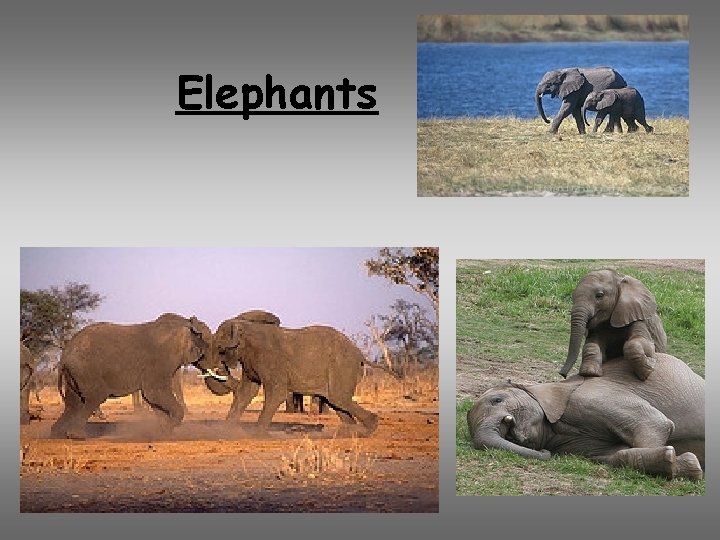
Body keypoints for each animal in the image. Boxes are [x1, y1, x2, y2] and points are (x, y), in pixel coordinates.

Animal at [51, 313, 219, 439]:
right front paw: (167, 429)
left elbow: (152, 397)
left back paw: (57, 434)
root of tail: (64, 355)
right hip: (86, 370)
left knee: (73, 403)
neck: (186, 323)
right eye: (210, 346)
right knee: (94, 397)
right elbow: (154, 392)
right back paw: (76, 436)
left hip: (74, 373)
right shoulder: (161, 359)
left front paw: (163, 432)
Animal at [206, 315, 378, 435]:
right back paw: (351, 433)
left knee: (339, 398)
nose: (220, 367)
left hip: (342, 367)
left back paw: (369, 428)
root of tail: (360, 354)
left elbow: (277, 393)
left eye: (220, 349)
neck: (244, 326)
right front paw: (226, 432)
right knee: (336, 402)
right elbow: (246, 393)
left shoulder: (270, 360)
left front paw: (258, 435)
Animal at [467, 353, 704, 480]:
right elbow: (615, 454)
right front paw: (684, 464)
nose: (545, 452)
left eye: (497, 400)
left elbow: (656, 423)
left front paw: (675, 461)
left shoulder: (592, 396)